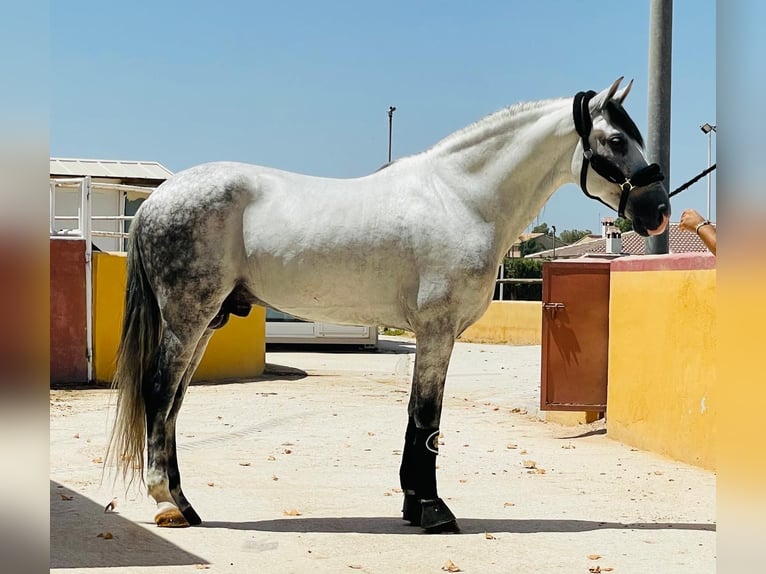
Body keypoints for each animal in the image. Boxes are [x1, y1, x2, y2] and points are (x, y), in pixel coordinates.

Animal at [108, 79, 672, 532]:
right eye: (617, 140)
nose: (659, 211)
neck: (460, 198)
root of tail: (157, 199)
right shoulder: (437, 330)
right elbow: (427, 417)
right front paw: (434, 510)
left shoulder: (430, 333)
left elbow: (415, 417)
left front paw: (412, 504)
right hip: (188, 318)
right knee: (159, 394)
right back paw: (168, 504)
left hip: (206, 320)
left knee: (174, 402)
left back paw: (184, 503)